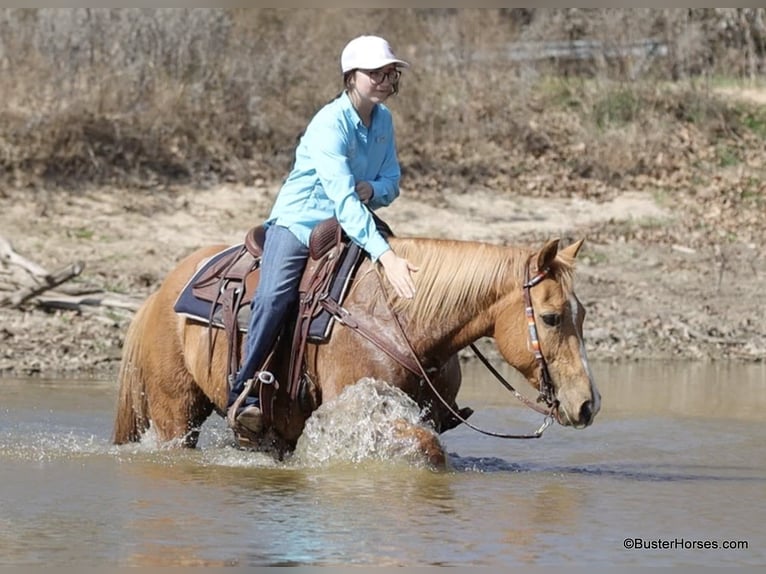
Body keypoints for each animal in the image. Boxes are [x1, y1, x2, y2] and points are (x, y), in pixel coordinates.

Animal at [112, 235, 600, 468]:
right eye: (551, 317)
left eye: (583, 314)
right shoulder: (364, 410)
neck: (400, 318)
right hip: (175, 413)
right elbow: (430, 452)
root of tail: (159, 294)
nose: (587, 404)